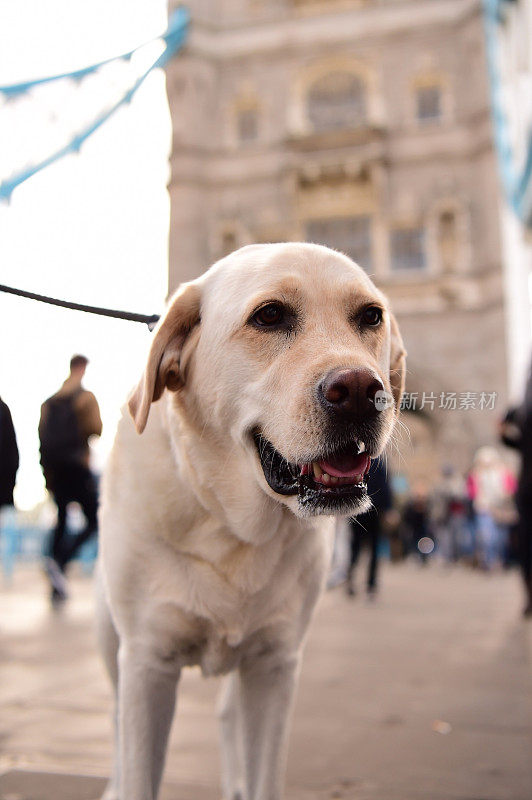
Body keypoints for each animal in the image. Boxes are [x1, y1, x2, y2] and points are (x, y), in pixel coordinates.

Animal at [95, 242, 406, 800]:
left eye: (371, 317)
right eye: (269, 316)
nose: (360, 389)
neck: (230, 525)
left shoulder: (274, 666)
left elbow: (264, 772)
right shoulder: (148, 663)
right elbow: (138, 769)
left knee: (227, 715)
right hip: (109, 637)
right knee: (114, 717)